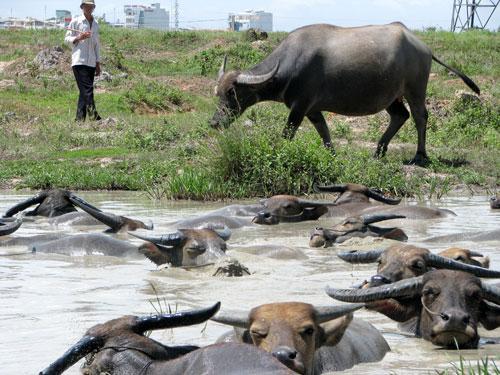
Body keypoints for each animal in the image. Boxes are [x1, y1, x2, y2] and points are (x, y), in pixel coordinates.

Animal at [209, 22, 478, 165]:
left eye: (232, 92)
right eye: (217, 92)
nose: (214, 122)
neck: (287, 65)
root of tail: (423, 47)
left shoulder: (299, 106)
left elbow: (288, 133)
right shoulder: (312, 109)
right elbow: (324, 132)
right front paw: (332, 155)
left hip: (415, 89)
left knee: (421, 117)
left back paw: (419, 155)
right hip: (391, 96)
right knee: (400, 116)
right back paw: (378, 151)